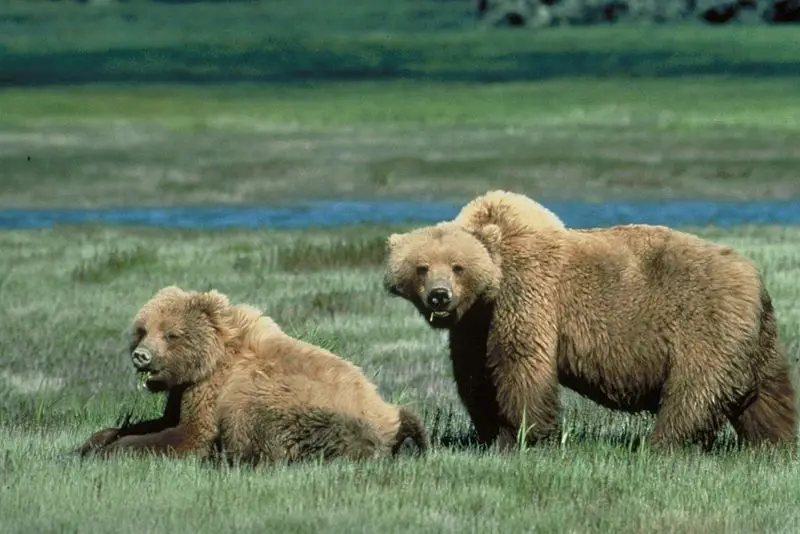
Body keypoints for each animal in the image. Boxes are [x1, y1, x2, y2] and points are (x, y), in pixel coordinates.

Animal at [77, 286, 428, 464]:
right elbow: (162, 420)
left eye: (171, 334)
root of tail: (391, 418)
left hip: (306, 408)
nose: (141, 355)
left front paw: (114, 450)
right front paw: (95, 441)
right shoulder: (185, 389)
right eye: (142, 330)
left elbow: (190, 434)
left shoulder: (213, 389)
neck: (210, 359)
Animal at [383, 219, 797, 453]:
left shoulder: (527, 299)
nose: (440, 295)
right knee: (768, 395)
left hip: (704, 323)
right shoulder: (473, 327)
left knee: (695, 391)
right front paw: (491, 434)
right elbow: (476, 379)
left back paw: (661, 446)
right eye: (421, 267)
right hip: (756, 339)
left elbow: (522, 367)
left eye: (458, 266)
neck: (491, 291)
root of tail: (755, 278)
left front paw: (526, 437)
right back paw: (775, 444)